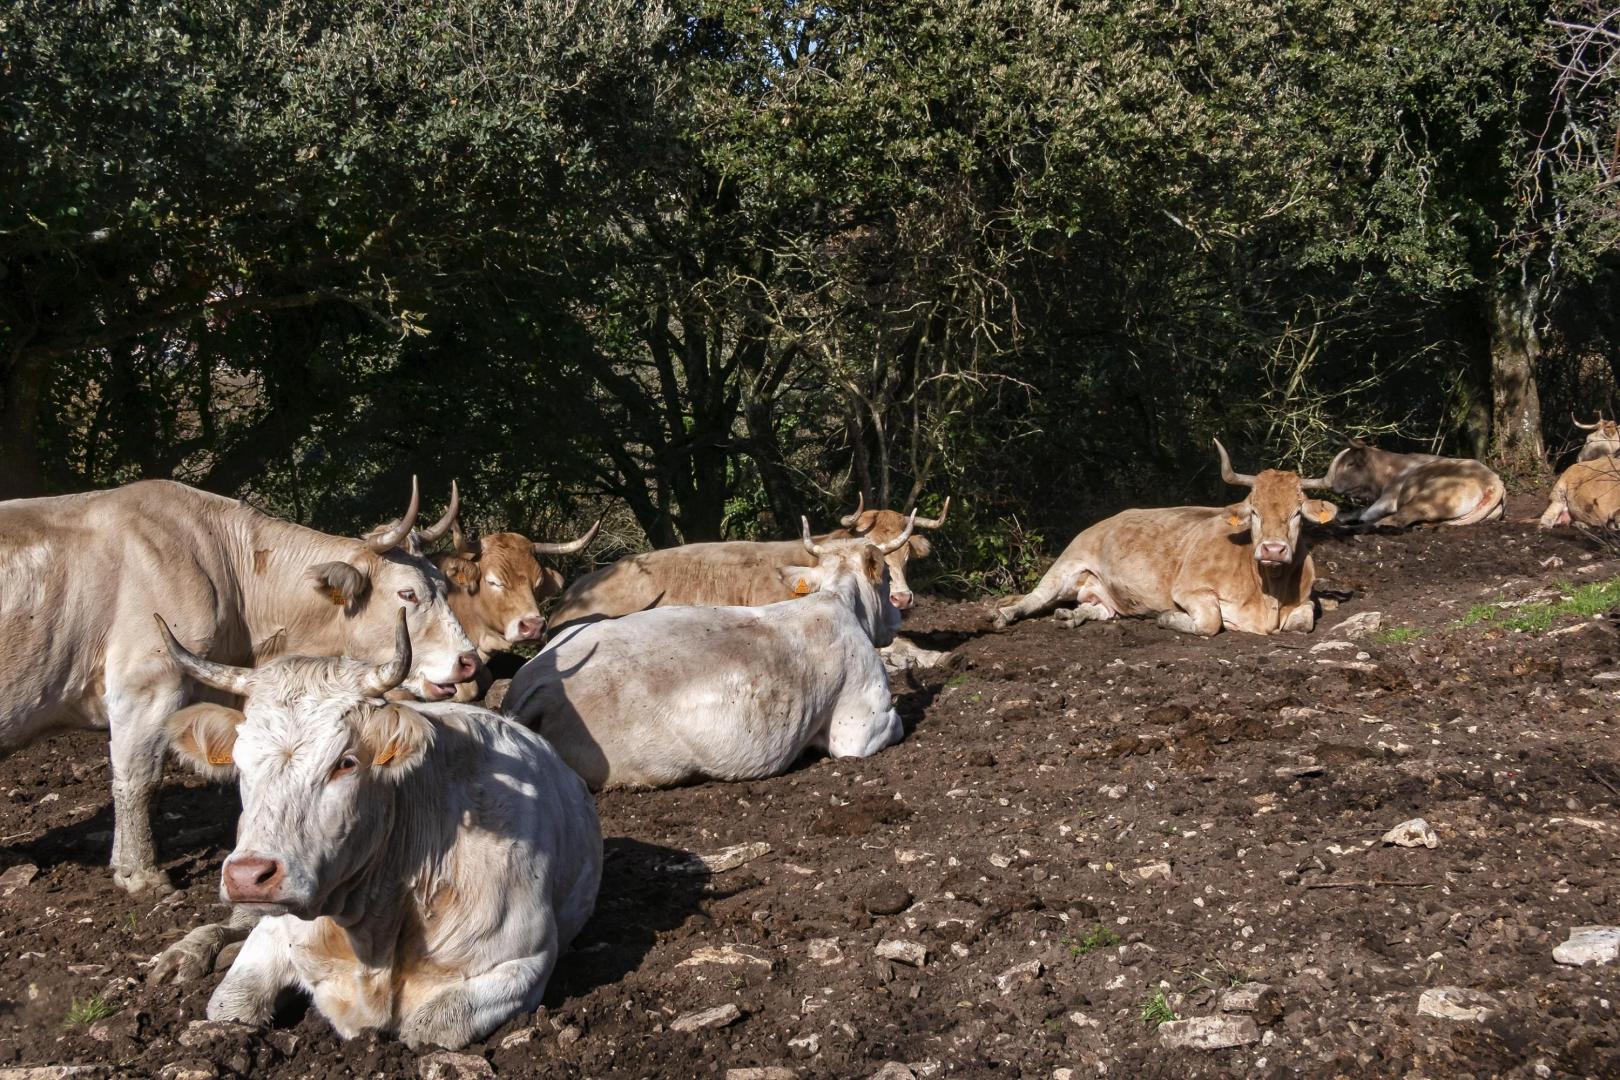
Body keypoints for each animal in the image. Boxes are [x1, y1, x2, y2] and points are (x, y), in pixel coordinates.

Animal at [0, 477, 477, 900]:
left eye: (443, 587)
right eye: (408, 594)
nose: (469, 659)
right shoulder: (146, 685)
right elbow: (136, 780)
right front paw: (139, 874)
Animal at [155, 611, 601, 1050]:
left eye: (346, 763)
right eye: (240, 760)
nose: (249, 875)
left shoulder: (525, 960)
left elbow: (432, 1027)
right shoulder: (276, 929)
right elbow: (229, 1005)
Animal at [992, 441, 1337, 636]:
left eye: (1296, 514)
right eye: (1254, 512)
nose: (1273, 550)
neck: (1267, 595)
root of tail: (1106, 520)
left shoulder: (1304, 600)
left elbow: (1304, 620)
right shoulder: (1189, 589)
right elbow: (1211, 622)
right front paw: (1169, 617)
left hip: (1102, 594)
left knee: (1099, 609)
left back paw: (1071, 616)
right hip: (1067, 564)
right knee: (1032, 599)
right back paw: (1002, 615)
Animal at [1323, 437, 1504, 527]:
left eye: (1350, 464)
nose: (1334, 486)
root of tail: (1494, 481)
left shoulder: (1388, 498)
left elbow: (1365, 513)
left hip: (1431, 496)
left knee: (1401, 517)